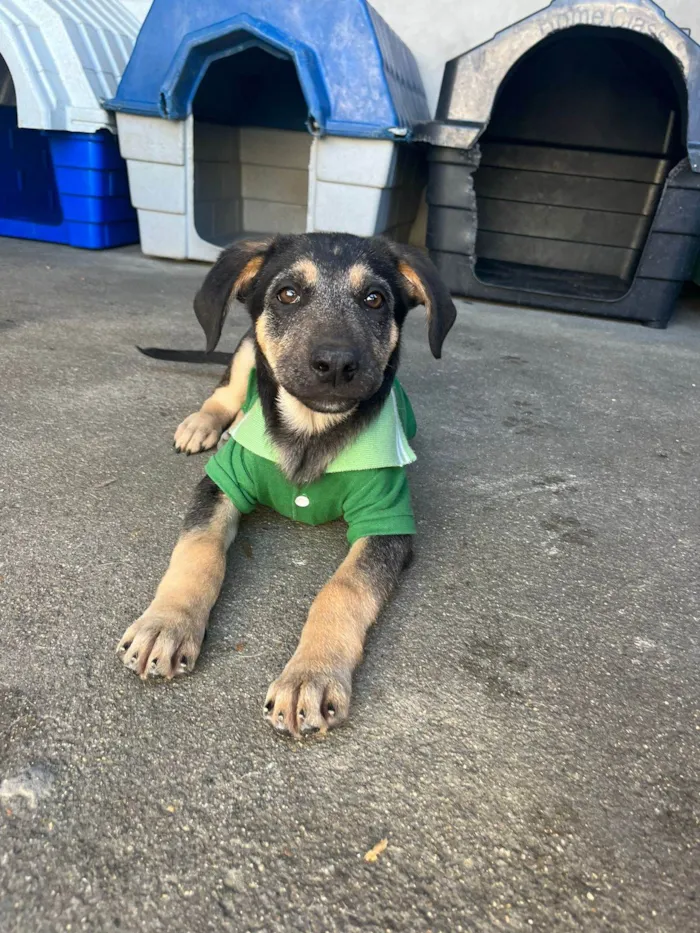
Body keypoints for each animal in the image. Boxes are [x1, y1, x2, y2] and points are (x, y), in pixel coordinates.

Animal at [117, 233, 456, 736]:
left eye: (374, 299)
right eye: (288, 294)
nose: (335, 364)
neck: (310, 432)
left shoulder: (387, 521)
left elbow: (343, 588)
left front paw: (310, 676)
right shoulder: (219, 485)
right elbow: (198, 551)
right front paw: (166, 624)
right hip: (242, 352)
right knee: (225, 392)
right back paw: (206, 424)